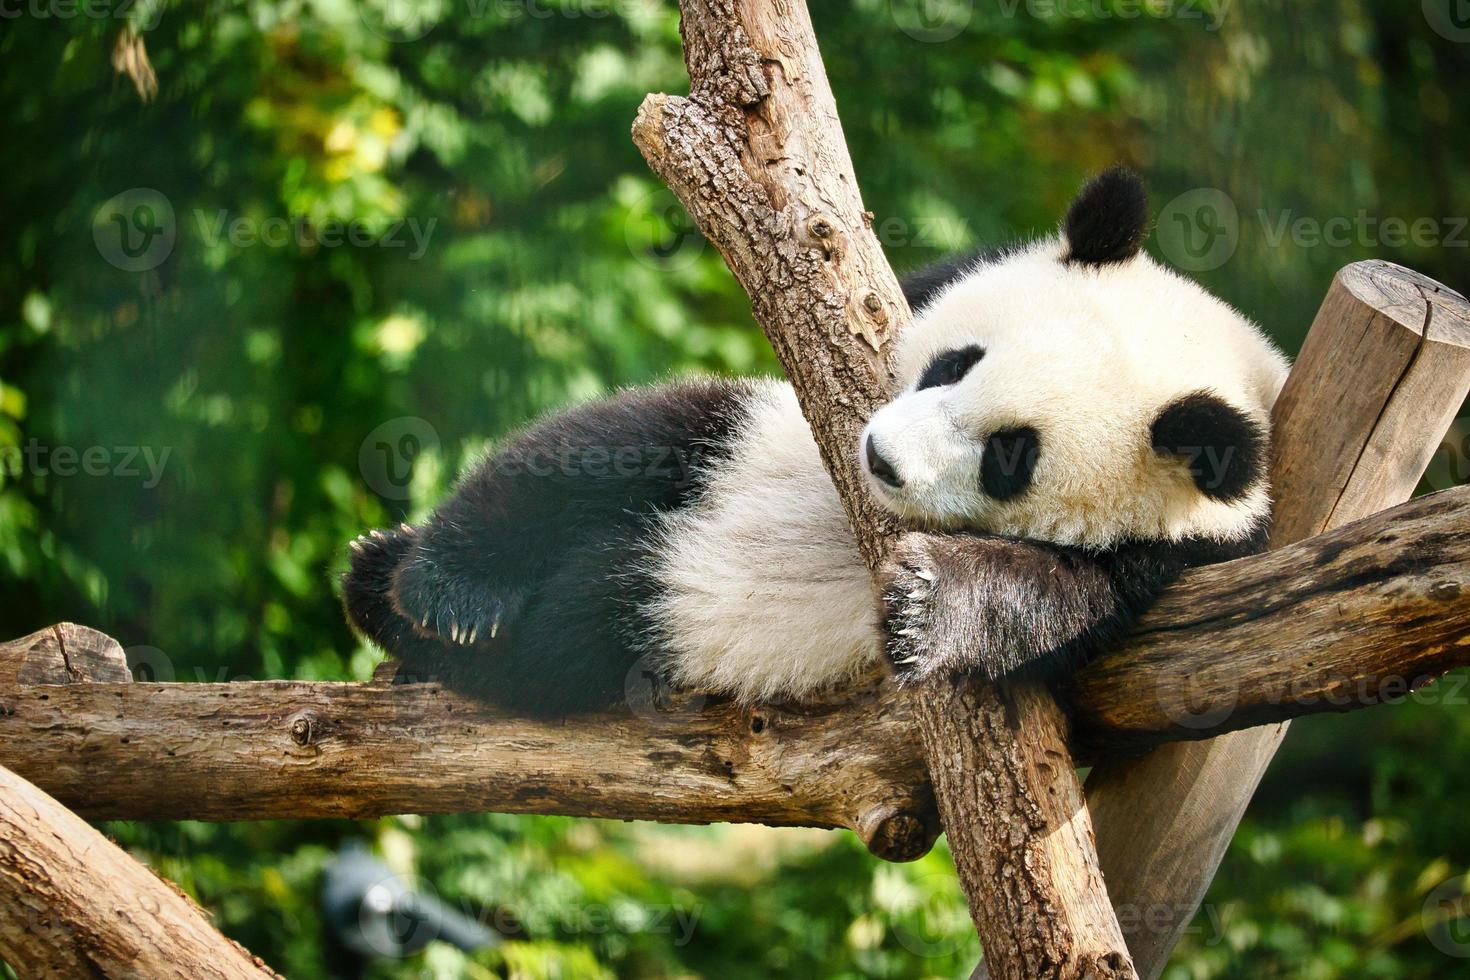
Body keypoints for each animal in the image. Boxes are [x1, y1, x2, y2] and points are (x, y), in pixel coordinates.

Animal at [341, 170, 1287, 714]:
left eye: (1010, 456)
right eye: (955, 362)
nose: (882, 460)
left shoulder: (1176, 558)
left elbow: (1055, 600)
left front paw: (922, 602)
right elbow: (591, 444)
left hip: (651, 626)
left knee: (565, 642)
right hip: (732, 440)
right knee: (612, 447)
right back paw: (413, 585)